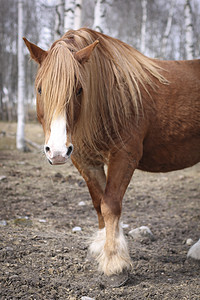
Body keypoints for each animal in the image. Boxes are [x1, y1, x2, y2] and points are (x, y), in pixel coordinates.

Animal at [23, 27, 200, 284]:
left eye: (78, 89)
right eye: (39, 88)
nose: (56, 152)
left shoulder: (125, 156)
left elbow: (110, 205)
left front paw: (116, 264)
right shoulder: (85, 161)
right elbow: (99, 204)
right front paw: (102, 248)